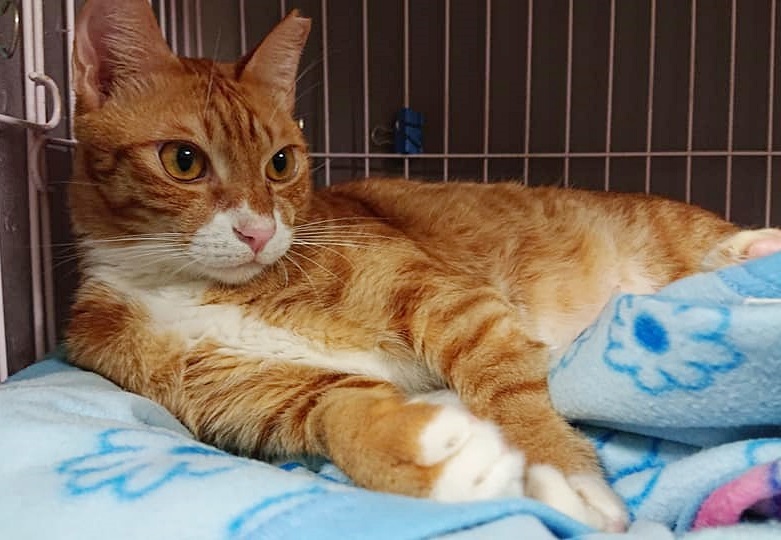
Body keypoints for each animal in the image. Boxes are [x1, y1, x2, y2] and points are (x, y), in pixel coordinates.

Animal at [66, 0, 781, 533]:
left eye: (281, 163)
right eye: (183, 161)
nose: (257, 231)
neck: (195, 288)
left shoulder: (449, 303)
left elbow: (508, 390)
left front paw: (561, 475)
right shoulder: (263, 399)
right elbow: (343, 416)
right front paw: (446, 462)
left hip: (664, 232)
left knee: (708, 244)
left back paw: (753, 248)